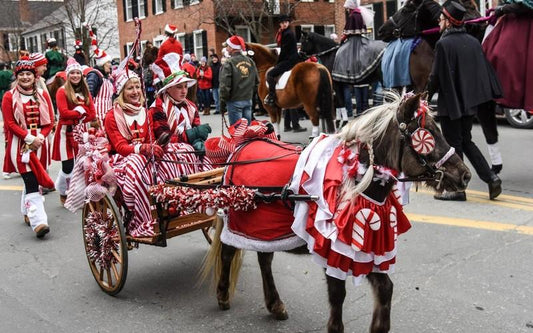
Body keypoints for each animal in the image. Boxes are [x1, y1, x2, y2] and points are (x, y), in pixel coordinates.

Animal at [203, 92, 470, 332]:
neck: (356, 183)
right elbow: (337, 297)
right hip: (241, 223)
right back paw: (223, 295)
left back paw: (275, 305)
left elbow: (385, 290)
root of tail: (244, 143)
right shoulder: (334, 251)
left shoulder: (367, 248)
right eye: (428, 135)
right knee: (228, 252)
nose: (464, 175)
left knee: (264, 258)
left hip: (266, 230)